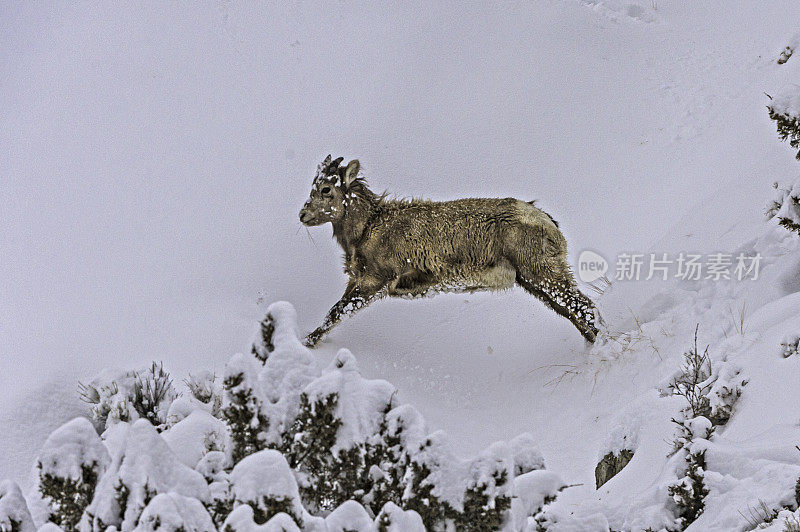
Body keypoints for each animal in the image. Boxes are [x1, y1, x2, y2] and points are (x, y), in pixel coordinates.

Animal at [300, 155, 600, 344]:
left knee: (583, 305)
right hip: (531, 279)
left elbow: (336, 312)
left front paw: (308, 341)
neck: (366, 229)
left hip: (541, 270)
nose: (303, 215)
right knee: (571, 311)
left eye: (326, 189)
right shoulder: (360, 280)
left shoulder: (376, 279)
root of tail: (548, 223)